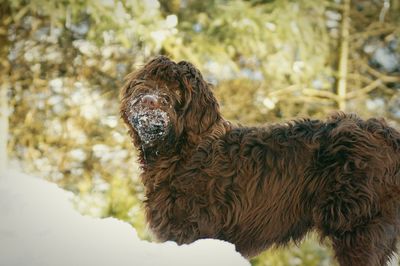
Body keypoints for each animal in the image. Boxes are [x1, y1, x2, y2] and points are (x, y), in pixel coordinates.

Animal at [119, 55, 400, 264]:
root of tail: (387, 134)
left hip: (360, 226)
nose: (150, 100)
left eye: (177, 88)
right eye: (146, 82)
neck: (185, 152)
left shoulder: (192, 227)